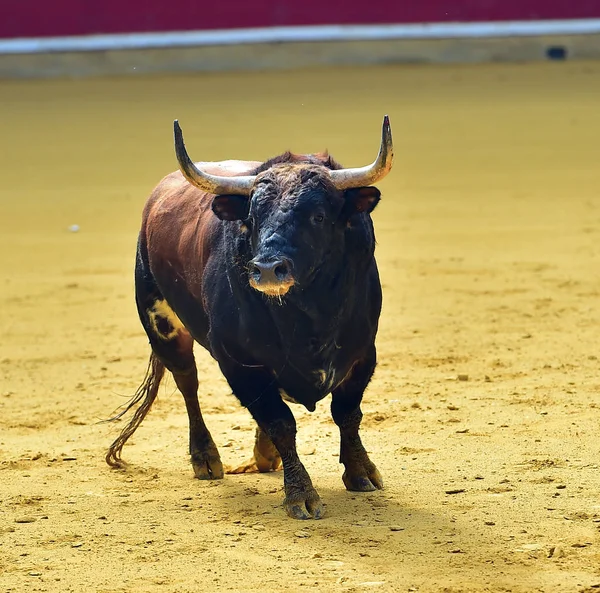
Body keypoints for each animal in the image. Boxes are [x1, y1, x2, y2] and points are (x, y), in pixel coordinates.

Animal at [107, 115, 394, 520]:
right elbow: (279, 421)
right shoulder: (240, 363)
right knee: (188, 384)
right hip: (161, 323)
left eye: (318, 215)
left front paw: (361, 473)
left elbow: (347, 413)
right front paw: (301, 494)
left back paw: (263, 455)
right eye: (253, 218)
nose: (268, 268)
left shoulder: (362, 353)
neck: (309, 318)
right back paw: (205, 458)